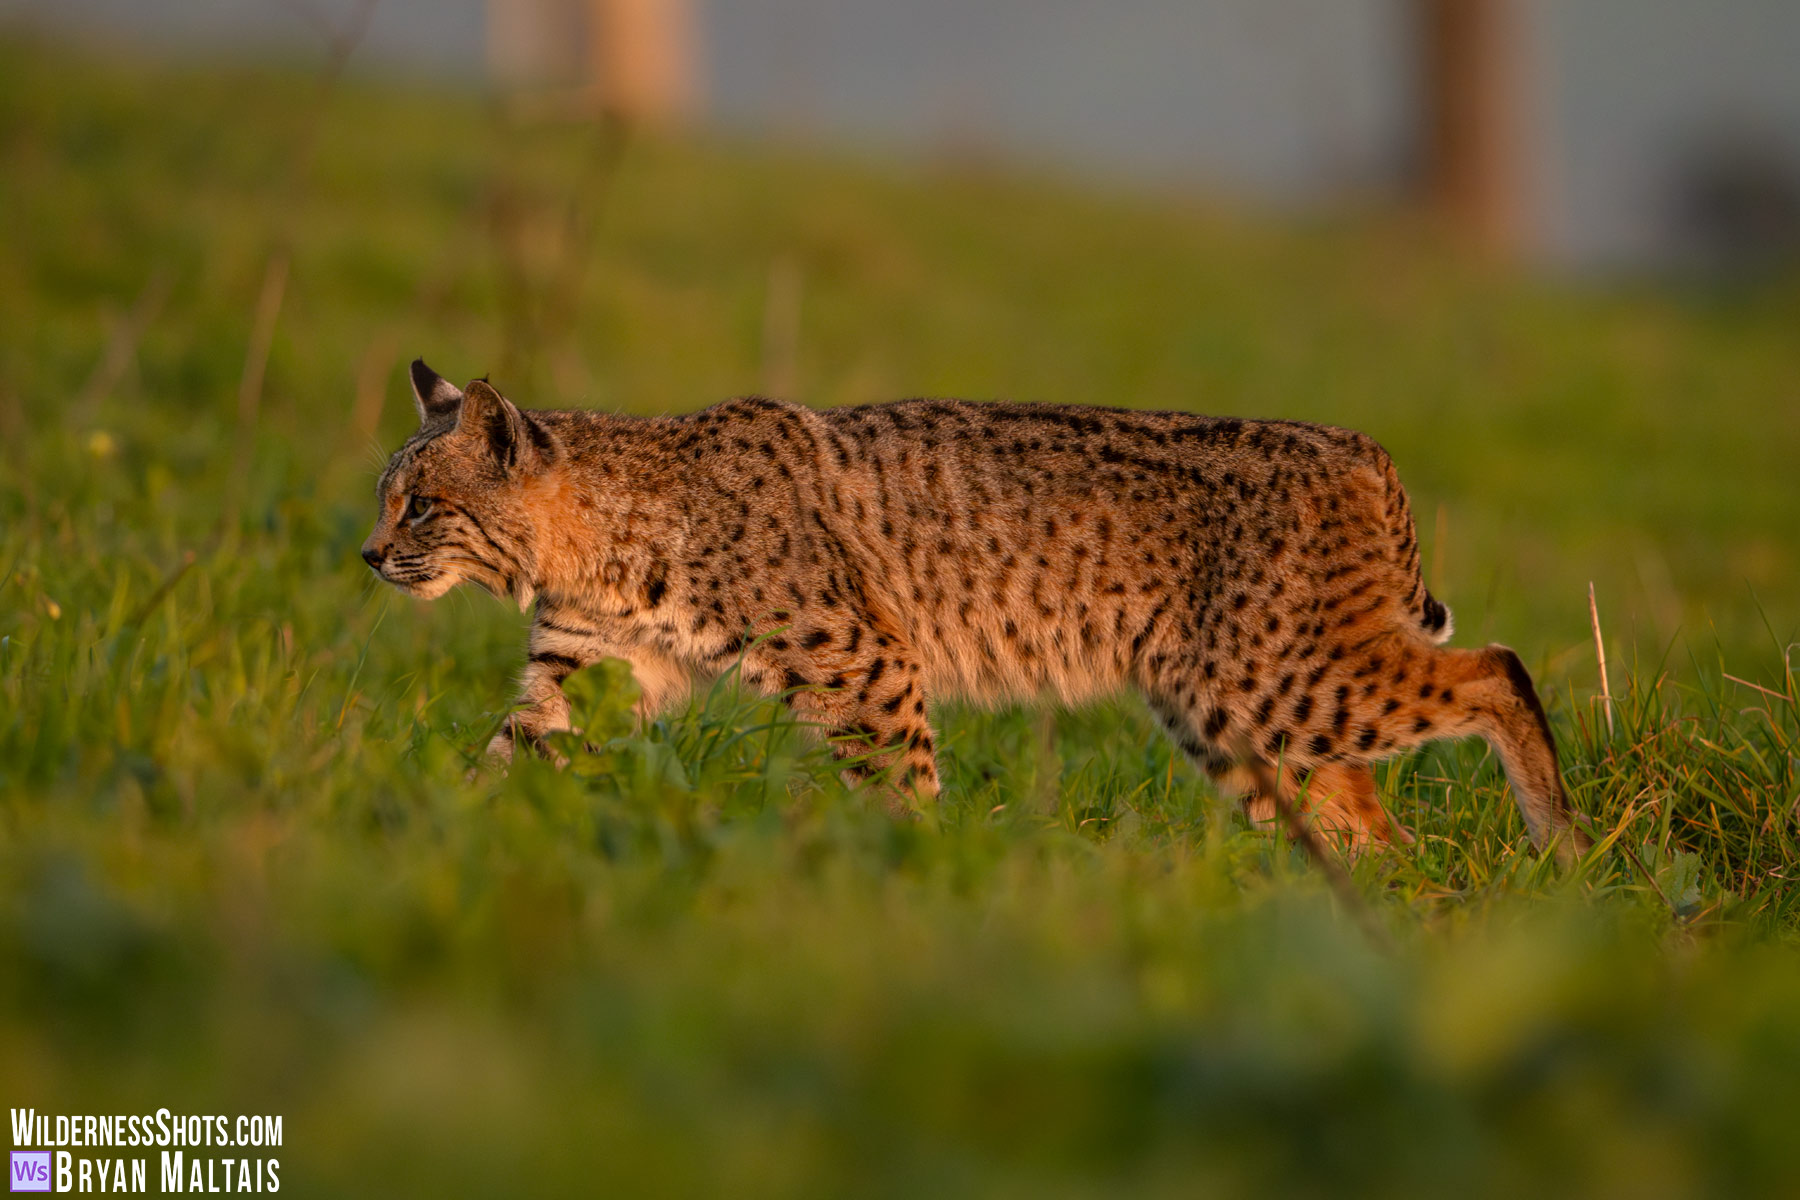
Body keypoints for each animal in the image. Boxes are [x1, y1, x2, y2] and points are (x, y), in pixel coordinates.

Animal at [362, 359, 1589, 860]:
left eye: (419, 506)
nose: (369, 556)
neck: (591, 542)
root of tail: (1359, 444)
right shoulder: (589, 665)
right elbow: (509, 753)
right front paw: (416, 837)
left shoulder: (863, 661)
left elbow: (896, 784)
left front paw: (916, 885)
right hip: (1238, 709)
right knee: (1372, 822)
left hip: (1271, 679)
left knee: (1499, 667)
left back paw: (1564, 854)